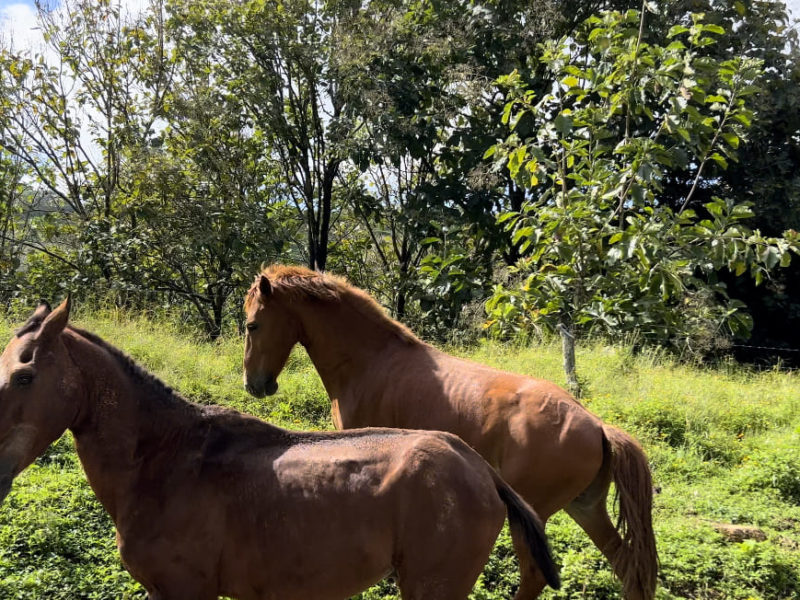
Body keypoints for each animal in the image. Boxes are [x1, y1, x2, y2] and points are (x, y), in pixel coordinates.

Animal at [244, 268, 656, 600]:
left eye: (251, 325)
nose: (254, 385)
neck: (371, 361)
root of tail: (597, 425)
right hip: (585, 508)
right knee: (628, 565)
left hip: (535, 513)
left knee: (535, 575)